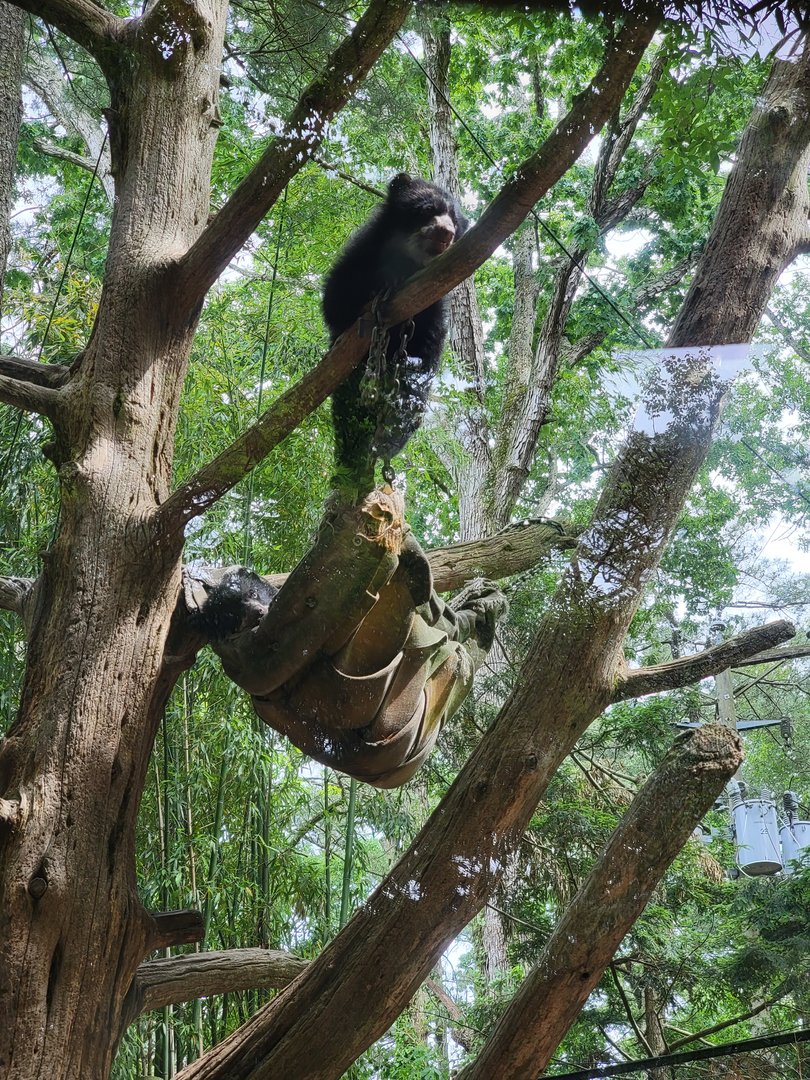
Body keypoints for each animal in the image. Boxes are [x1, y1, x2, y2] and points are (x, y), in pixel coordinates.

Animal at [322, 172, 468, 495]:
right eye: (428, 210)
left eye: (455, 221)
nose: (445, 233)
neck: (407, 261)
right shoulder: (360, 256)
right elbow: (336, 299)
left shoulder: (434, 300)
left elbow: (427, 343)